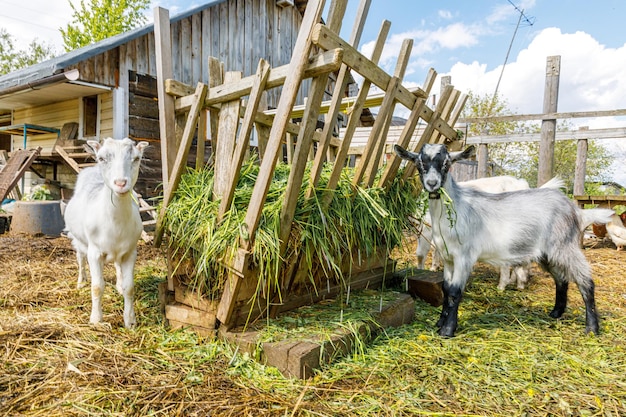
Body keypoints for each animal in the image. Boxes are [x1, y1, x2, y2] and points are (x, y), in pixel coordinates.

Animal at [64, 136, 148, 328]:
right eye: (102, 158)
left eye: (136, 158)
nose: (121, 183)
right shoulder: (94, 252)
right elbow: (97, 287)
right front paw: (96, 319)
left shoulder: (130, 252)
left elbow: (129, 288)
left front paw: (130, 321)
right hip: (78, 240)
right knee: (80, 259)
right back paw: (81, 281)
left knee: (117, 265)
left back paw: (118, 285)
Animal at [392, 141, 612, 336]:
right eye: (419, 163)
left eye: (447, 163)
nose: (432, 184)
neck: (456, 207)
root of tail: (575, 210)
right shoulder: (448, 258)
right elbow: (446, 290)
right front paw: (440, 322)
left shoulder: (464, 256)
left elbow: (455, 292)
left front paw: (447, 330)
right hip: (547, 253)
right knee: (561, 279)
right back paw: (556, 312)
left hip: (565, 245)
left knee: (585, 281)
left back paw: (592, 328)